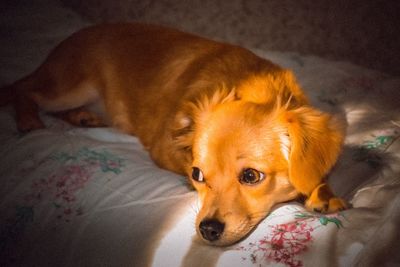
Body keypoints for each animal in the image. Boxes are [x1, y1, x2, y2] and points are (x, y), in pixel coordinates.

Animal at [1, 23, 346, 247]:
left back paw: (82, 117)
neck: (247, 85)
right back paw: (29, 120)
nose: (207, 229)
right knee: (21, 88)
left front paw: (324, 194)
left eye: (250, 176)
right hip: (69, 87)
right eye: (196, 175)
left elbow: (317, 175)